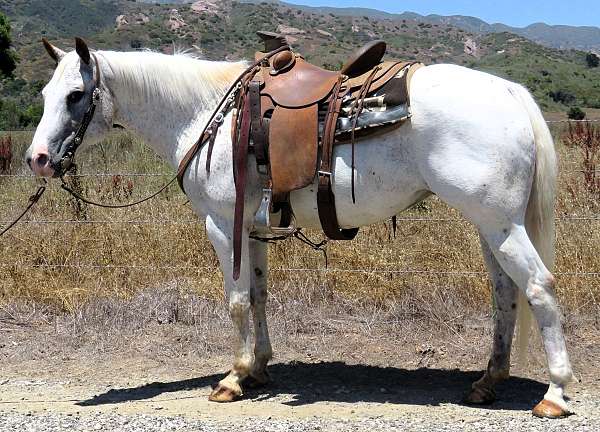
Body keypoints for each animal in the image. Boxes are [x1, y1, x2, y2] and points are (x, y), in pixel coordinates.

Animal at [28, 40, 576, 418]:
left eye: (76, 95)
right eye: (45, 93)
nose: (37, 159)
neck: (205, 115)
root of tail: (510, 92)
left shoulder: (222, 225)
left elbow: (236, 301)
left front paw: (232, 379)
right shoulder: (251, 229)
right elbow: (259, 297)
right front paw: (260, 369)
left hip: (500, 224)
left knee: (539, 287)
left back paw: (554, 393)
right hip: (490, 226)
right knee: (505, 293)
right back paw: (488, 382)